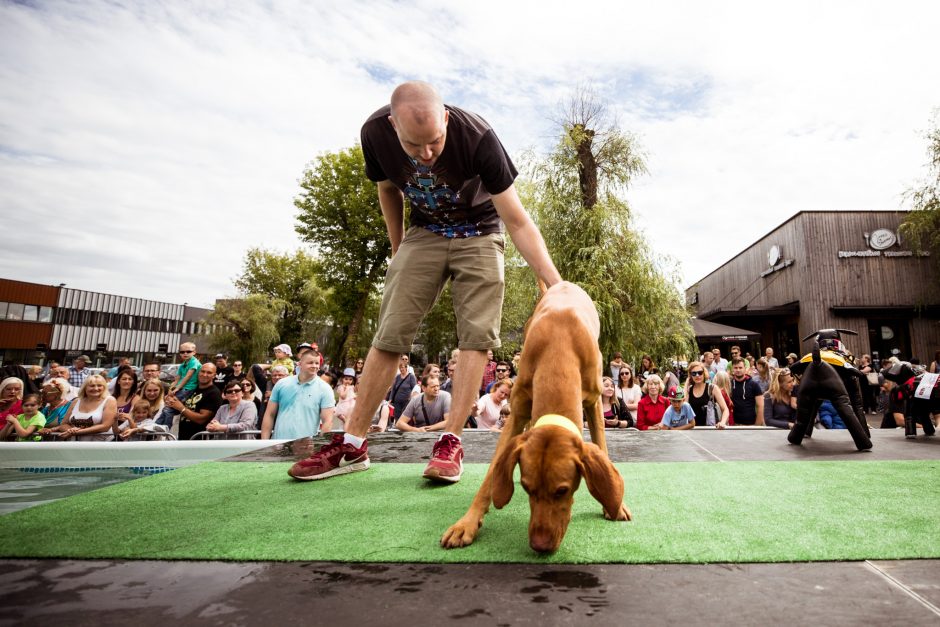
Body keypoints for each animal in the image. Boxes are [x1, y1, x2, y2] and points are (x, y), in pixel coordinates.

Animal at [440, 282, 632, 552]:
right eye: (526, 487)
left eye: (562, 491)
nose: (539, 545)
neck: (559, 349)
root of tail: (561, 283)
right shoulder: (517, 409)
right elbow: (492, 473)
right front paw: (467, 523)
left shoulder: (595, 403)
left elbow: (602, 448)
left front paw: (614, 504)